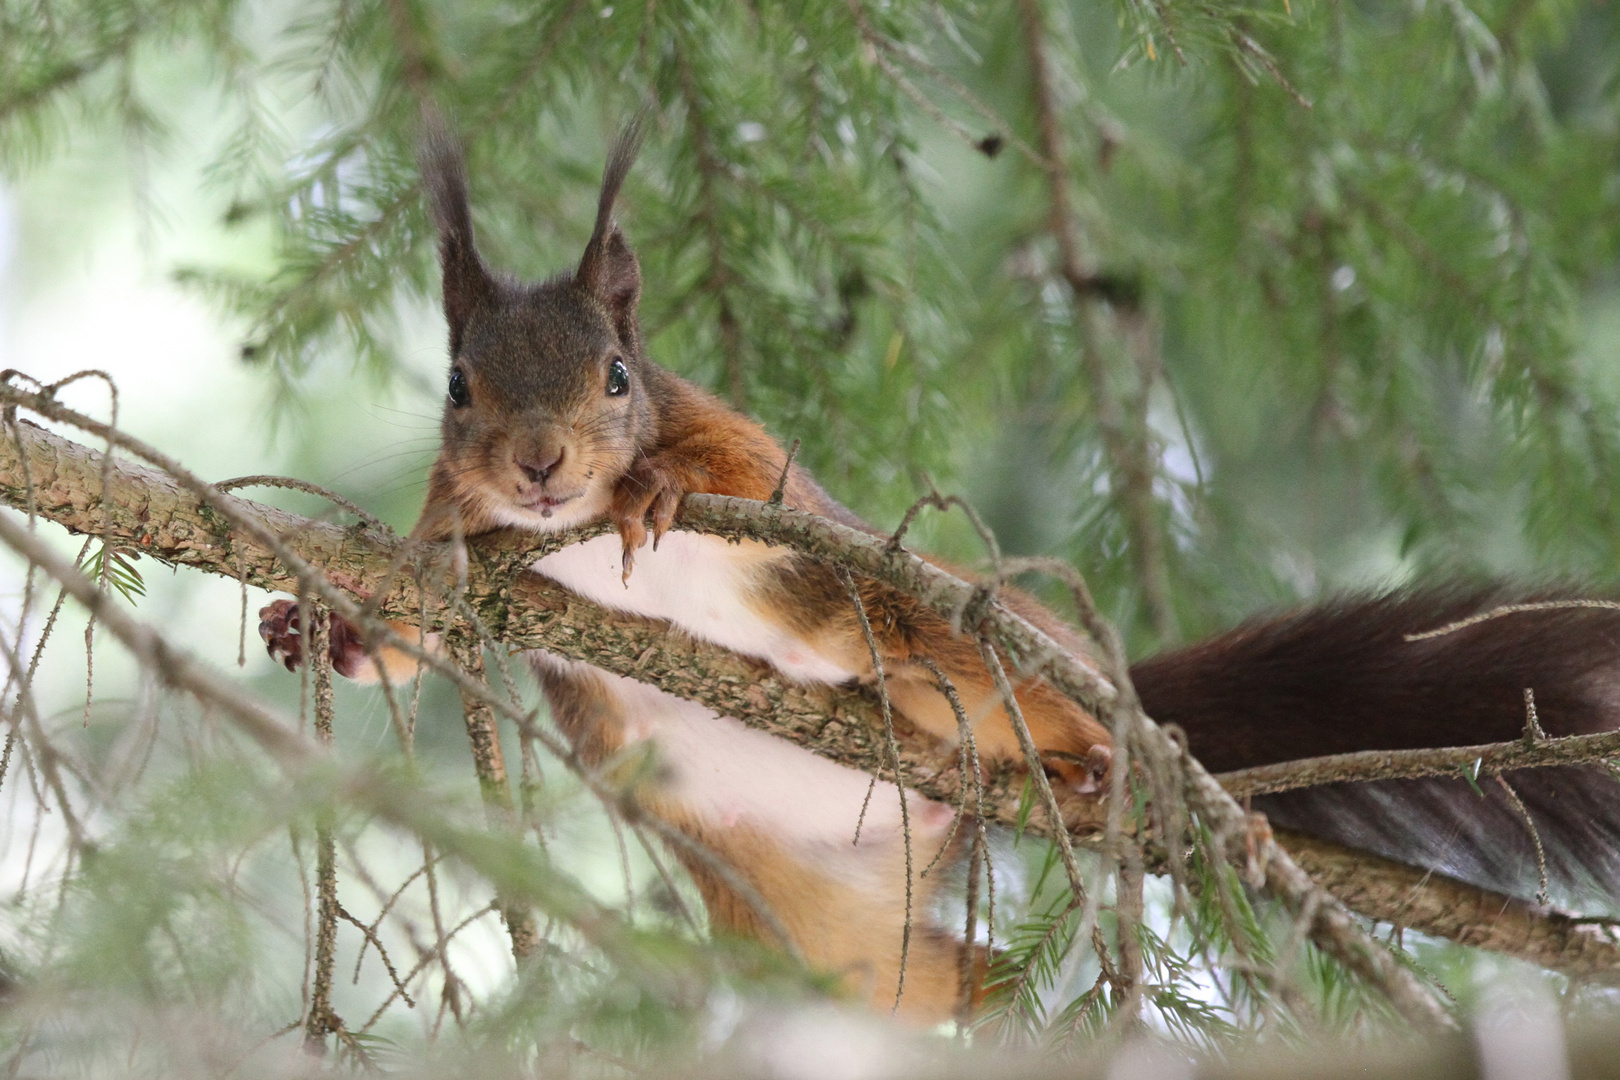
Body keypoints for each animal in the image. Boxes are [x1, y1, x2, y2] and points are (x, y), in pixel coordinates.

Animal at [255, 118, 1620, 1023]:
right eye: (456, 386)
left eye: (619, 376)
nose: (540, 467)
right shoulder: (469, 542)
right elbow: (430, 622)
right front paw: (329, 633)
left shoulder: (756, 464)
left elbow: (744, 477)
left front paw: (650, 491)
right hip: (815, 936)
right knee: (928, 979)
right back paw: (999, 989)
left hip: (956, 636)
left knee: (1022, 690)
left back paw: (1104, 759)